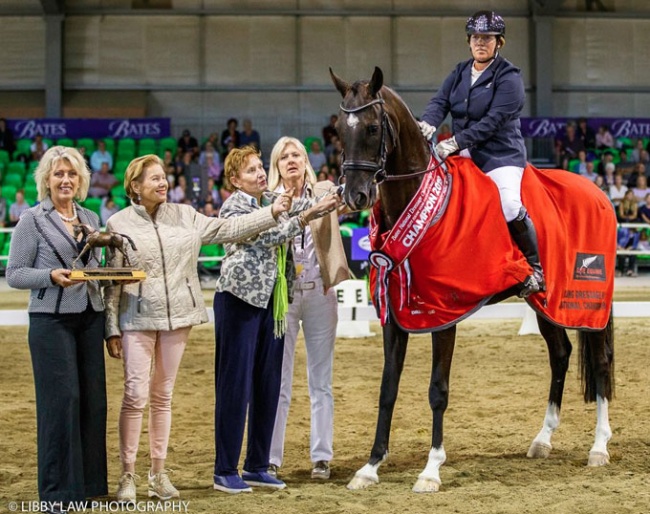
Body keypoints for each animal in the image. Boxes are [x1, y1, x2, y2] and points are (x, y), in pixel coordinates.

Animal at [330, 66, 612, 490]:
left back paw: (599, 447)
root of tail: (598, 192)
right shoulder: (394, 317)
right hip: (544, 302)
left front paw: (430, 470)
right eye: (337, 130)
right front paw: (370, 466)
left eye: (373, 127)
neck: (423, 206)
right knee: (560, 354)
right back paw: (542, 439)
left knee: (600, 361)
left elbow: (438, 390)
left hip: (587, 301)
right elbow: (387, 388)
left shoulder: (444, 316)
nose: (355, 196)